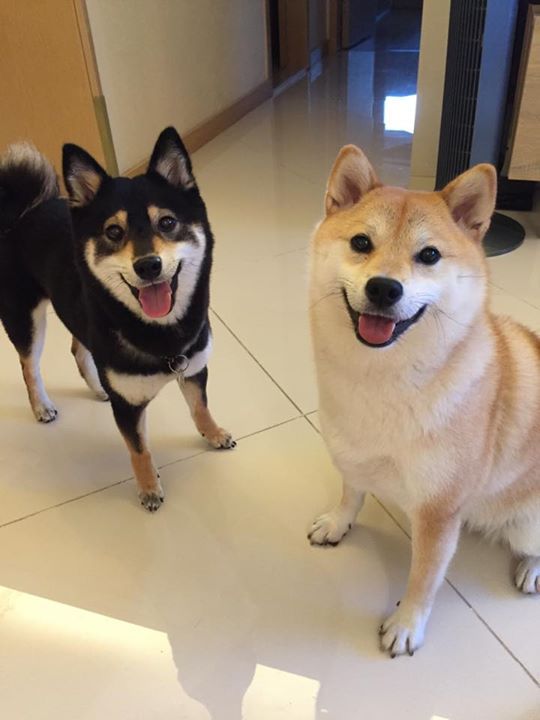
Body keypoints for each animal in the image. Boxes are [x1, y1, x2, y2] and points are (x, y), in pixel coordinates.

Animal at [1, 129, 235, 512]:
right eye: (113, 232)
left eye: (167, 222)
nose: (148, 265)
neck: (161, 336)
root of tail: (20, 215)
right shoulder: (127, 408)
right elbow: (139, 451)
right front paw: (149, 489)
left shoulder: (195, 367)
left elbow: (200, 407)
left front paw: (213, 433)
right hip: (26, 319)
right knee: (29, 367)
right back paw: (42, 406)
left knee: (78, 349)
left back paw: (98, 387)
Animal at [308, 146, 540, 660]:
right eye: (361, 242)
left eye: (429, 255)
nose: (384, 287)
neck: (383, 379)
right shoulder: (351, 452)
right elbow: (351, 492)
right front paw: (337, 523)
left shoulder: (438, 512)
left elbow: (424, 578)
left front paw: (406, 625)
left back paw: (532, 568)